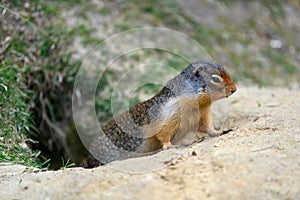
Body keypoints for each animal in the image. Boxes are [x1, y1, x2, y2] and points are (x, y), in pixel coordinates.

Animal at [82, 59, 237, 167]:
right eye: (216, 78)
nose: (234, 89)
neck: (198, 102)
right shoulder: (168, 117)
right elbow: (163, 134)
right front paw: (170, 146)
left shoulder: (203, 114)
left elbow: (207, 127)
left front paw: (219, 131)